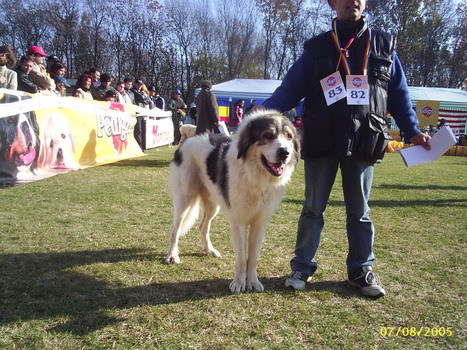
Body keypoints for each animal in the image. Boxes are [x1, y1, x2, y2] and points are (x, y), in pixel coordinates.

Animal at [166, 110, 302, 292]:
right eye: (267, 135)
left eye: (288, 136)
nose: (284, 152)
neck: (256, 179)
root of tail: (188, 140)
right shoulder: (239, 222)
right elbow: (242, 257)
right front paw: (238, 283)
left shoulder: (260, 223)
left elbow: (253, 257)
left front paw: (253, 282)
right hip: (185, 198)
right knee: (175, 228)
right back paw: (172, 255)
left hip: (213, 205)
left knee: (203, 226)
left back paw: (209, 250)